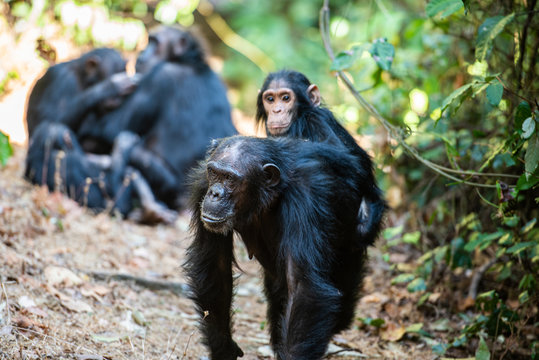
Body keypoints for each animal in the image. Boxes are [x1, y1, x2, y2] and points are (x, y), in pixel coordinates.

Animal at [25, 122, 175, 222]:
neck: (44, 149)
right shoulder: (76, 160)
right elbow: (118, 199)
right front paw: (124, 142)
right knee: (129, 173)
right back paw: (151, 211)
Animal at [77, 27, 237, 208]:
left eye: (155, 42)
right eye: (149, 41)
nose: (142, 53)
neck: (187, 61)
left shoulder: (159, 77)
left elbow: (111, 127)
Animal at [186, 136, 372, 360]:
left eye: (230, 178)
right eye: (213, 173)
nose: (214, 193)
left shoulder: (306, 198)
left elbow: (303, 287)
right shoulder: (201, 187)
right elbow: (215, 265)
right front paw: (222, 346)